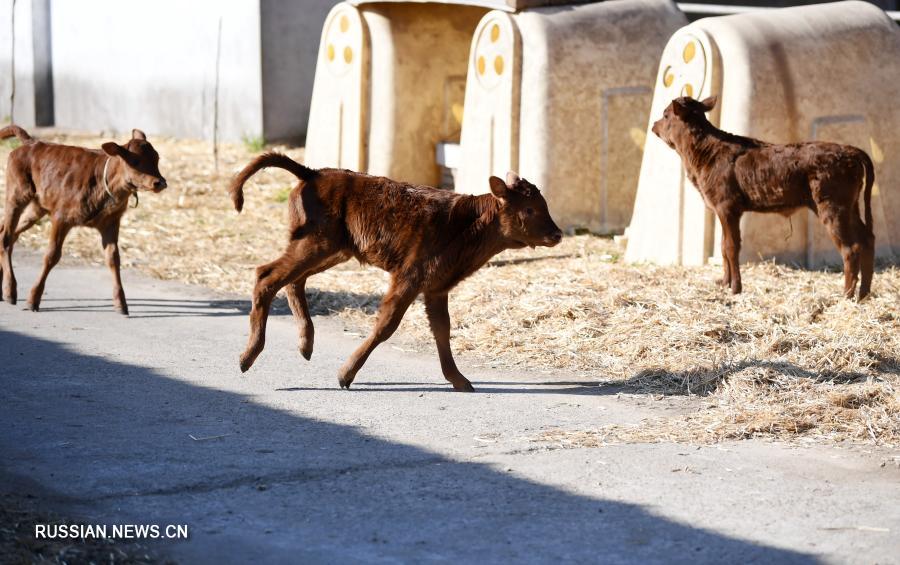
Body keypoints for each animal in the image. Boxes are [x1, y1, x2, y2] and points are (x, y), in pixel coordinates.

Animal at [0, 124, 166, 316]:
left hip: (37, 207)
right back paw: (10, 291)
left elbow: (113, 259)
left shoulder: (111, 221)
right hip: (16, 194)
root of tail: (31, 142)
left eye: (157, 158)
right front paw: (33, 300)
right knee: (6, 237)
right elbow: (51, 256)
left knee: (9, 233)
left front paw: (121, 303)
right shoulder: (61, 217)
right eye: (135, 161)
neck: (105, 182)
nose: (160, 182)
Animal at [227, 154, 564, 392]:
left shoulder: (436, 286)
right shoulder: (409, 276)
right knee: (267, 275)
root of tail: (313, 173)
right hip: (316, 243)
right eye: (530, 209)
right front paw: (345, 375)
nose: (557, 234)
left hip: (332, 248)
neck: (467, 226)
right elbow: (386, 325)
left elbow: (442, 330)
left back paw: (305, 344)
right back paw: (248, 356)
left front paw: (459, 380)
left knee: (293, 280)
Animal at [652, 97, 876, 300]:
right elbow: (723, 247)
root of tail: (850, 150)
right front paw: (724, 283)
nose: (654, 125)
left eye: (665, 115)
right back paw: (863, 294)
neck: (706, 153)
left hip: (832, 206)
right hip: (851, 206)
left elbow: (731, 247)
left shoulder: (727, 207)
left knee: (850, 248)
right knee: (867, 239)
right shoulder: (722, 211)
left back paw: (846, 295)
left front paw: (735, 288)